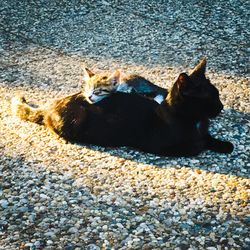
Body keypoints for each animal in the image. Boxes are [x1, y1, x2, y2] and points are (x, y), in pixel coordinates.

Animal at [12, 58, 234, 156]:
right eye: (211, 98)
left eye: (217, 95)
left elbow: (207, 138)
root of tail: (52, 103)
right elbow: (196, 145)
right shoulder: (160, 146)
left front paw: (224, 145)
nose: (222, 106)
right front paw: (203, 144)